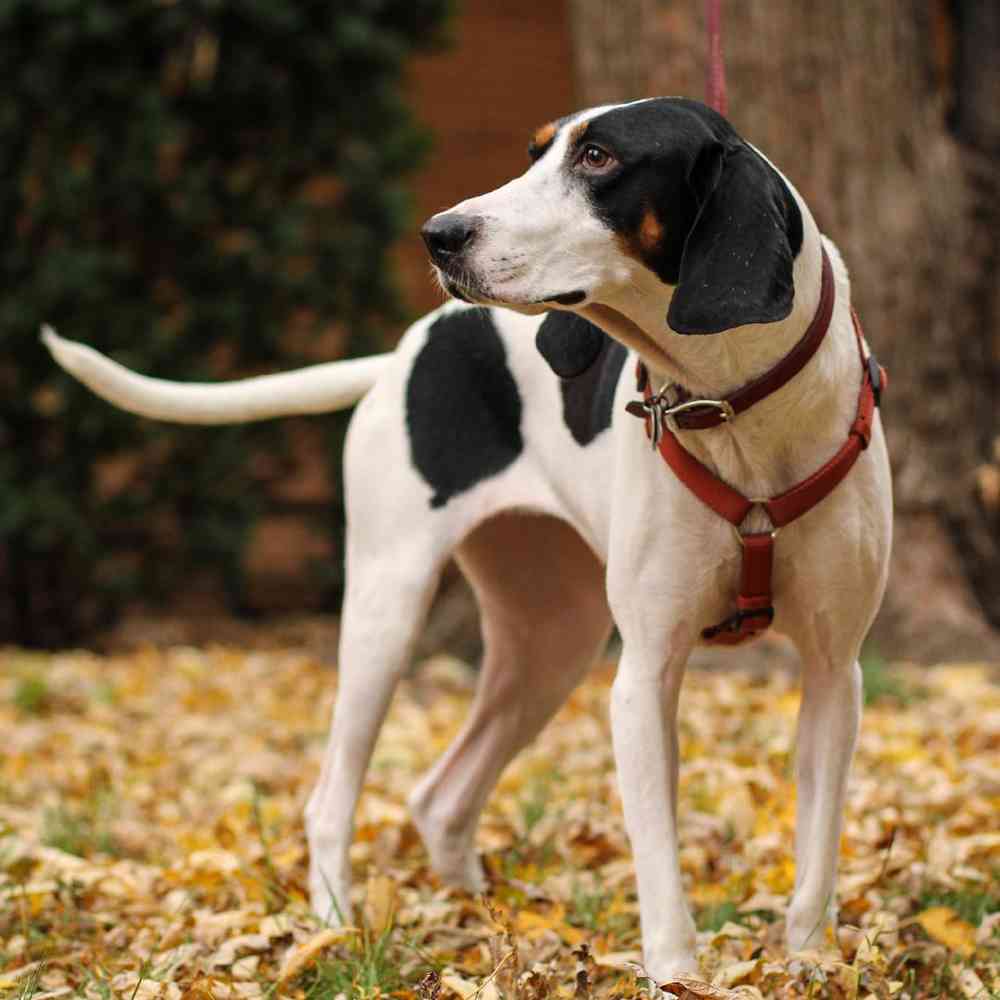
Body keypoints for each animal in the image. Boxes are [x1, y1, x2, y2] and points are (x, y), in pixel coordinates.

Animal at [45, 99, 892, 976]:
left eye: (597, 157)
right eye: (535, 151)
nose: (439, 234)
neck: (731, 406)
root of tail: (404, 353)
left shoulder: (835, 675)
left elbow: (817, 860)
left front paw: (813, 968)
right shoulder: (645, 678)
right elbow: (662, 880)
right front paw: (677, 981)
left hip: (551, 643)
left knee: (441, 797)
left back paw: (477, 918)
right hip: (388, 615)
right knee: (331, 799)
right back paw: (332, 927)